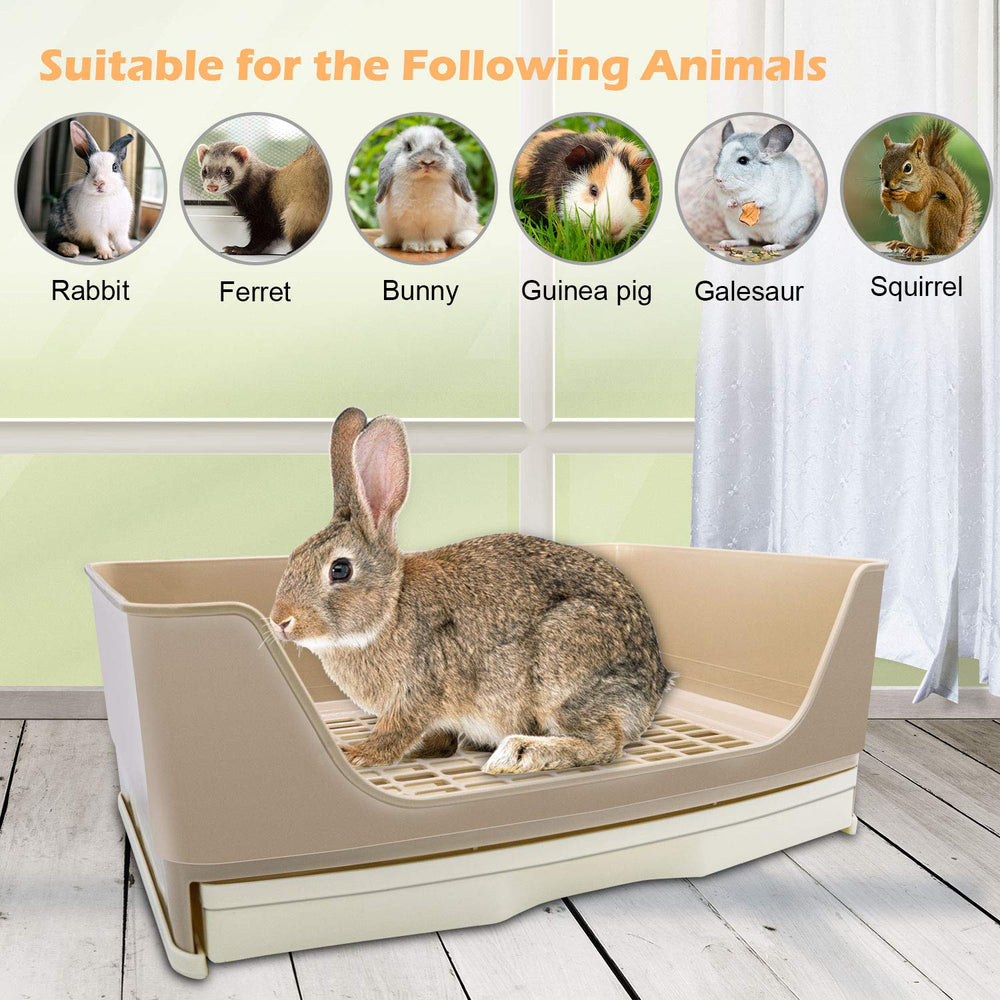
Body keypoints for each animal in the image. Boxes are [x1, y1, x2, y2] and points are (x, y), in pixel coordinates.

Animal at [45, 120, 134, 260]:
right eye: (88, 168)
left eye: (115, 167)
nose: (99, 182)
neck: (105, 197)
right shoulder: (96, 229)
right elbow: (101, 241)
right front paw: (105, 254)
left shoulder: (120, 228)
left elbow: (121, 241)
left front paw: (126, 251)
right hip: (57, 224)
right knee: (54, 241)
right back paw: (71, 249)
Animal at [270, 407, 671, 775]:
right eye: (294, 555)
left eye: (340, 569)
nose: (280, 621)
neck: (389, 610)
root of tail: (653, 685)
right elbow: (439, 740)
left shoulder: (417, 692)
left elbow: (394, 733)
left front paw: (355, 754)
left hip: (563, 670)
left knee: (604, 744)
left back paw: (518, 754)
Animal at [374, 125, 480, 253]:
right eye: (408, 146)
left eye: (441, 145)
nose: (427, 161)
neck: (424, 181)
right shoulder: (406, 218)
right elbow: (412, 234)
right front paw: (413, 248)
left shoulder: (438, 217)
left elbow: (434, 234)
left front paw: (436, 248)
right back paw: (383, 242)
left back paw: (465, 239)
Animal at [713, 119, 817, 252]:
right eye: (718, 156)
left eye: (743, 160)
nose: (718, 179)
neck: (745, 188)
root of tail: (762, 237)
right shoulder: (722, 197)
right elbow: (727, 202)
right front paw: (732, 203)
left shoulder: (774, 196)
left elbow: (768, 203)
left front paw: (758, 203)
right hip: (735, 228)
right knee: (744, 241)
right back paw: (726, 243)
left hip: (790, 230)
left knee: (783, 244)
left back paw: (770, 247)